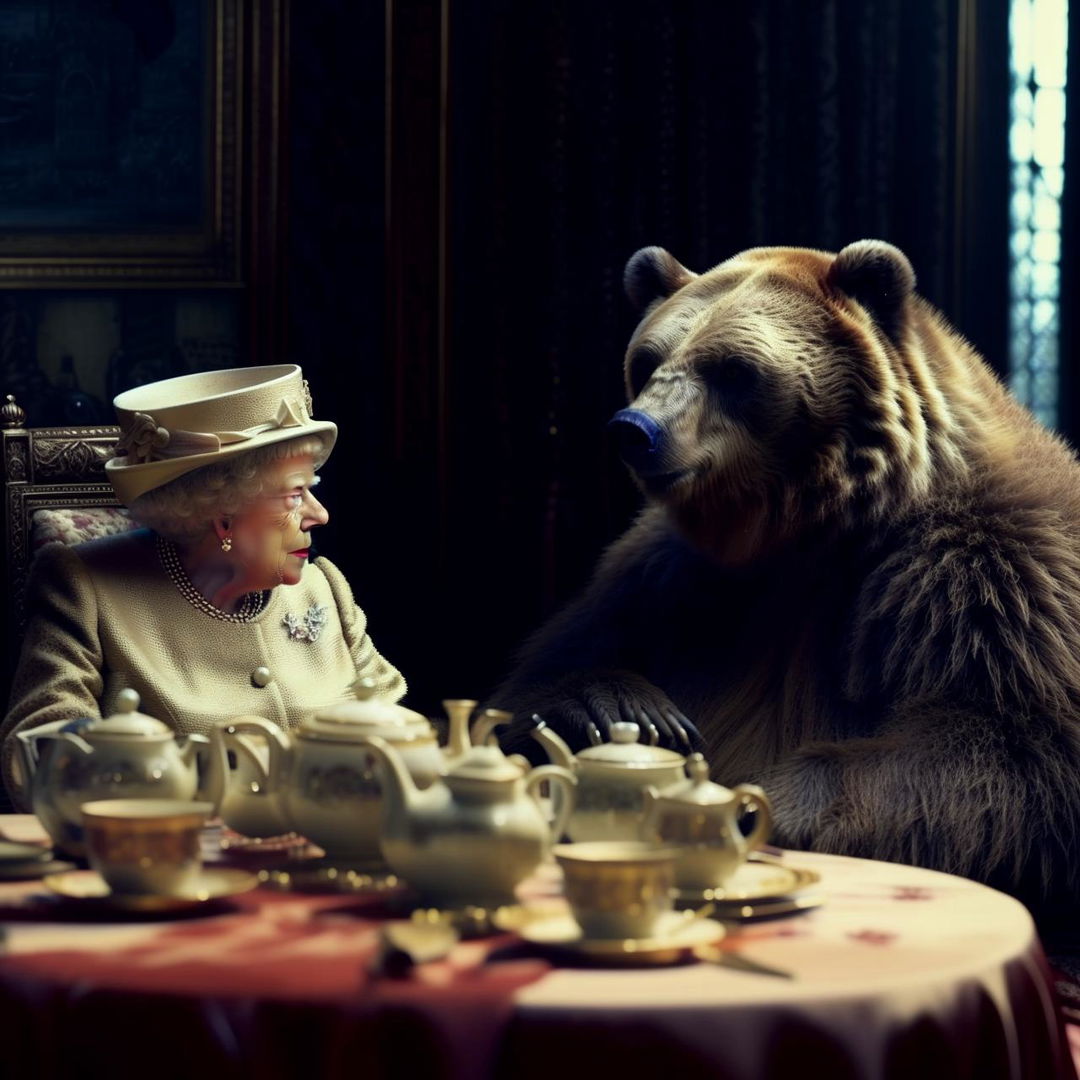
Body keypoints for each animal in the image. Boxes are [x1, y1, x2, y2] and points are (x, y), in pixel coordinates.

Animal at [494, 240, 1080, 915]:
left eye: (733, 369)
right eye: (646, 360)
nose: (635, 430)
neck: (808, 533)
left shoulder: (990, 585)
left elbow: (1016, 753)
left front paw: (749, 805)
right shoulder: (660, 584)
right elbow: (537, 682)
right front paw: (617, 707)